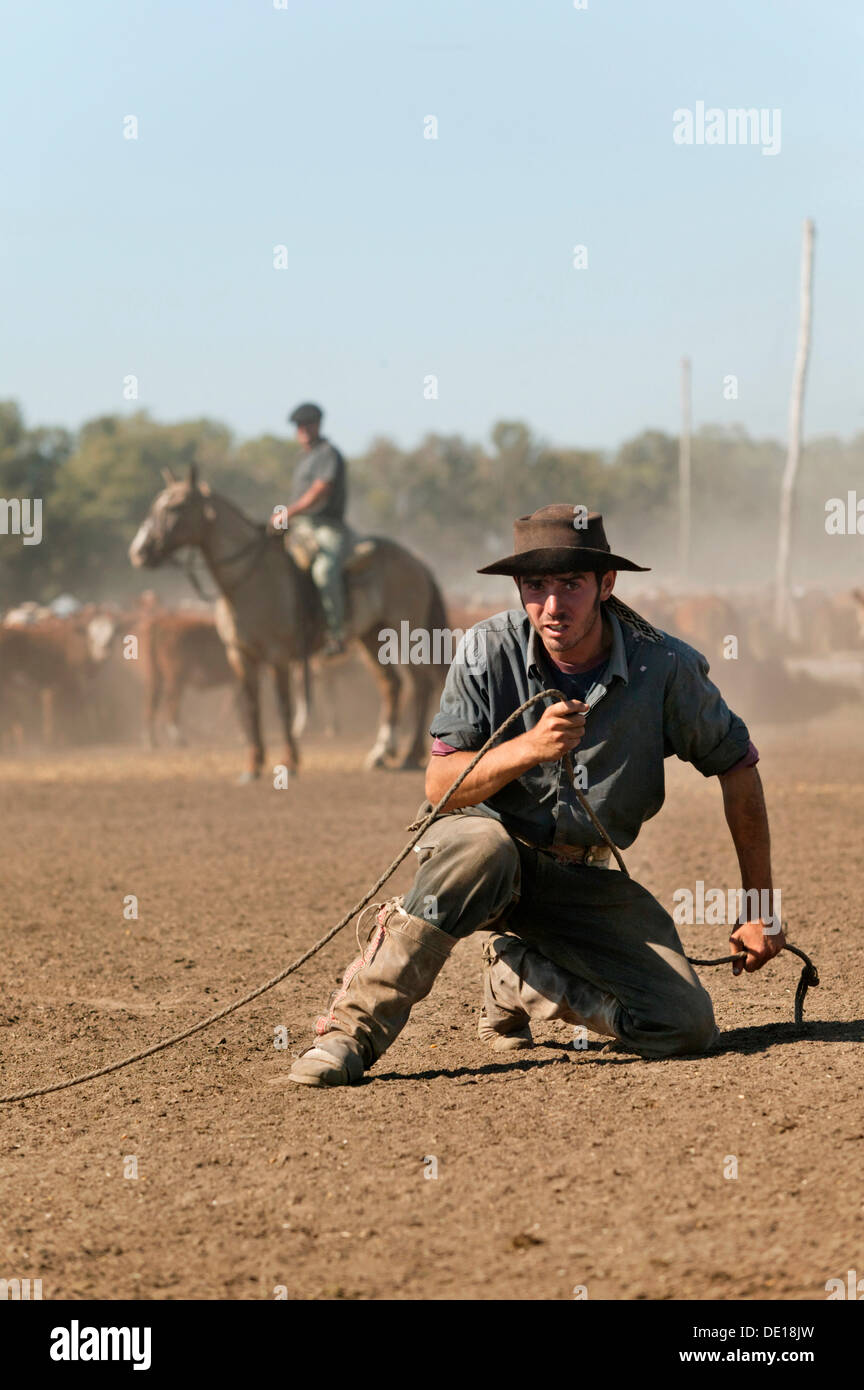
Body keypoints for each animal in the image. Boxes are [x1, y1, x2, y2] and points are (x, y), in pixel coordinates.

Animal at [130, 467, 452, 783]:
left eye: (175, 507)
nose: (139, 552)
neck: (248, 580)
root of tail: (416, 562)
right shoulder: (240, 655)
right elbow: (251, 707)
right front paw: (252, 765)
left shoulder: (278, 656)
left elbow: (283, 706)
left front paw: (289, 761)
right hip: (371, 636)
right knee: (392, 685)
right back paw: (380, 754)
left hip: (407, 632)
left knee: (420, 684)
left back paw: (410, 755)